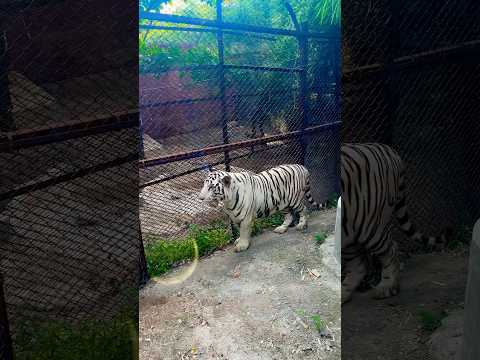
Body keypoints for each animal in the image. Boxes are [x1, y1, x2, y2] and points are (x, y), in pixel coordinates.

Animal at [342, 143, 450, 304]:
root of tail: (390, 150)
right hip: (348, 232)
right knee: (359, 265)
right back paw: (343, 294)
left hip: (370, 226)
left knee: (391, 250)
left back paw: (386, 287)